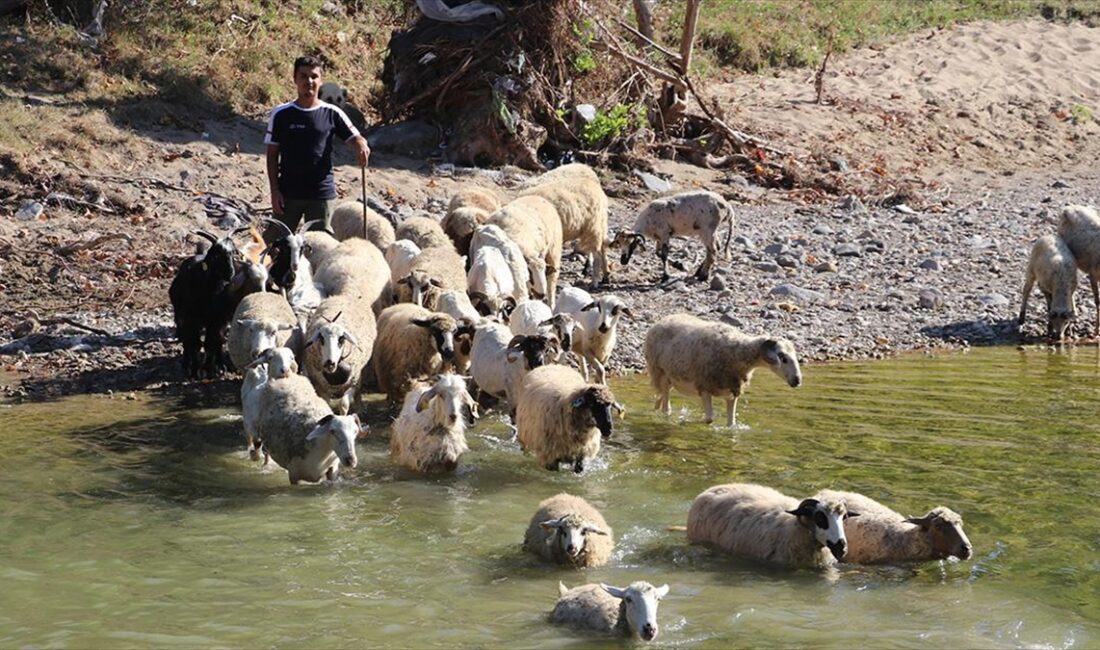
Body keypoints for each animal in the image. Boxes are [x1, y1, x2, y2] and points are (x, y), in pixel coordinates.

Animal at [642, 314, 800, 426]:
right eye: (782, 357)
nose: (797, 381)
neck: (736, 353)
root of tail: (661, 320)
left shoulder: (732, 390)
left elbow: (731, 423)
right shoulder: (705, 386)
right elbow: (709, 419)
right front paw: (688, 421)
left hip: (670, 379)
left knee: (659, 398)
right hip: (660, 372)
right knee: (665, 407)